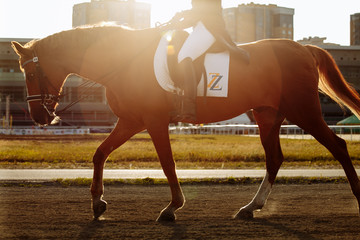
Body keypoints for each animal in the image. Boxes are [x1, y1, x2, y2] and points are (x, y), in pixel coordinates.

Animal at [11, 24, 360, 221]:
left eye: (29, 72)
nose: (38, 116)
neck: (124, 61)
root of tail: (302, 47)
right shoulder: (131, 120)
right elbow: (100, 153)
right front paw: (97, 202)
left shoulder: (153, 121)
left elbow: (167, 163)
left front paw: (173, 206)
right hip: (267, 116)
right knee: (275, 158)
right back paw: (251, 206)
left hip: (304, 111)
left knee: (339, 146)